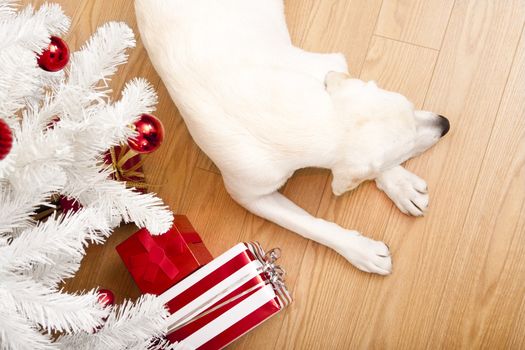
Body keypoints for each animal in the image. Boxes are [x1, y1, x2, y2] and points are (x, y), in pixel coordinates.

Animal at [133, 0, 448, 276]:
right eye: (406, 149)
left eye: (410, 105)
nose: (445, 124)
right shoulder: (251, 194)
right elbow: (310, 225)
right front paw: (361, 250)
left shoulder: (327, 67)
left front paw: (402, 186)